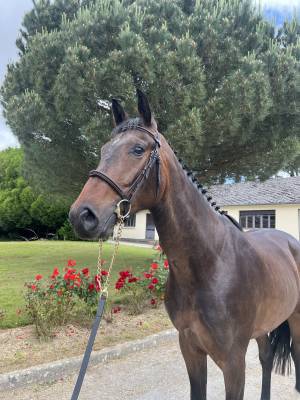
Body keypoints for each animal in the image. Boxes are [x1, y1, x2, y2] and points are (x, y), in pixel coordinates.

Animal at [69, 90, 300, 400]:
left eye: (138, 149)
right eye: (104, 149)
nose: (82, 215)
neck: (210, 264)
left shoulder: (233, 361)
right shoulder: (190, 348)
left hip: (296, 321)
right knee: (266, 359)